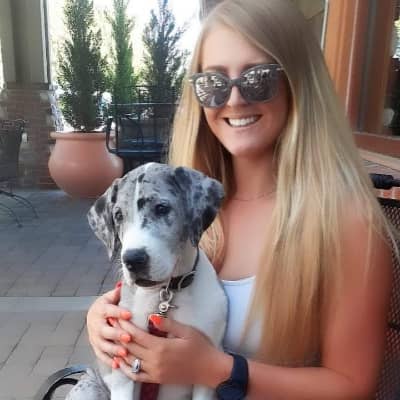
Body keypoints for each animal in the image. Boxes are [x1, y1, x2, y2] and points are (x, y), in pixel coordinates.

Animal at [86, 162, 228, 400]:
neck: (166, 294)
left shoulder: (206, 371)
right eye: (118, 216)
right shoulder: (123, 369)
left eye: (161, 208)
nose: (133, 259)